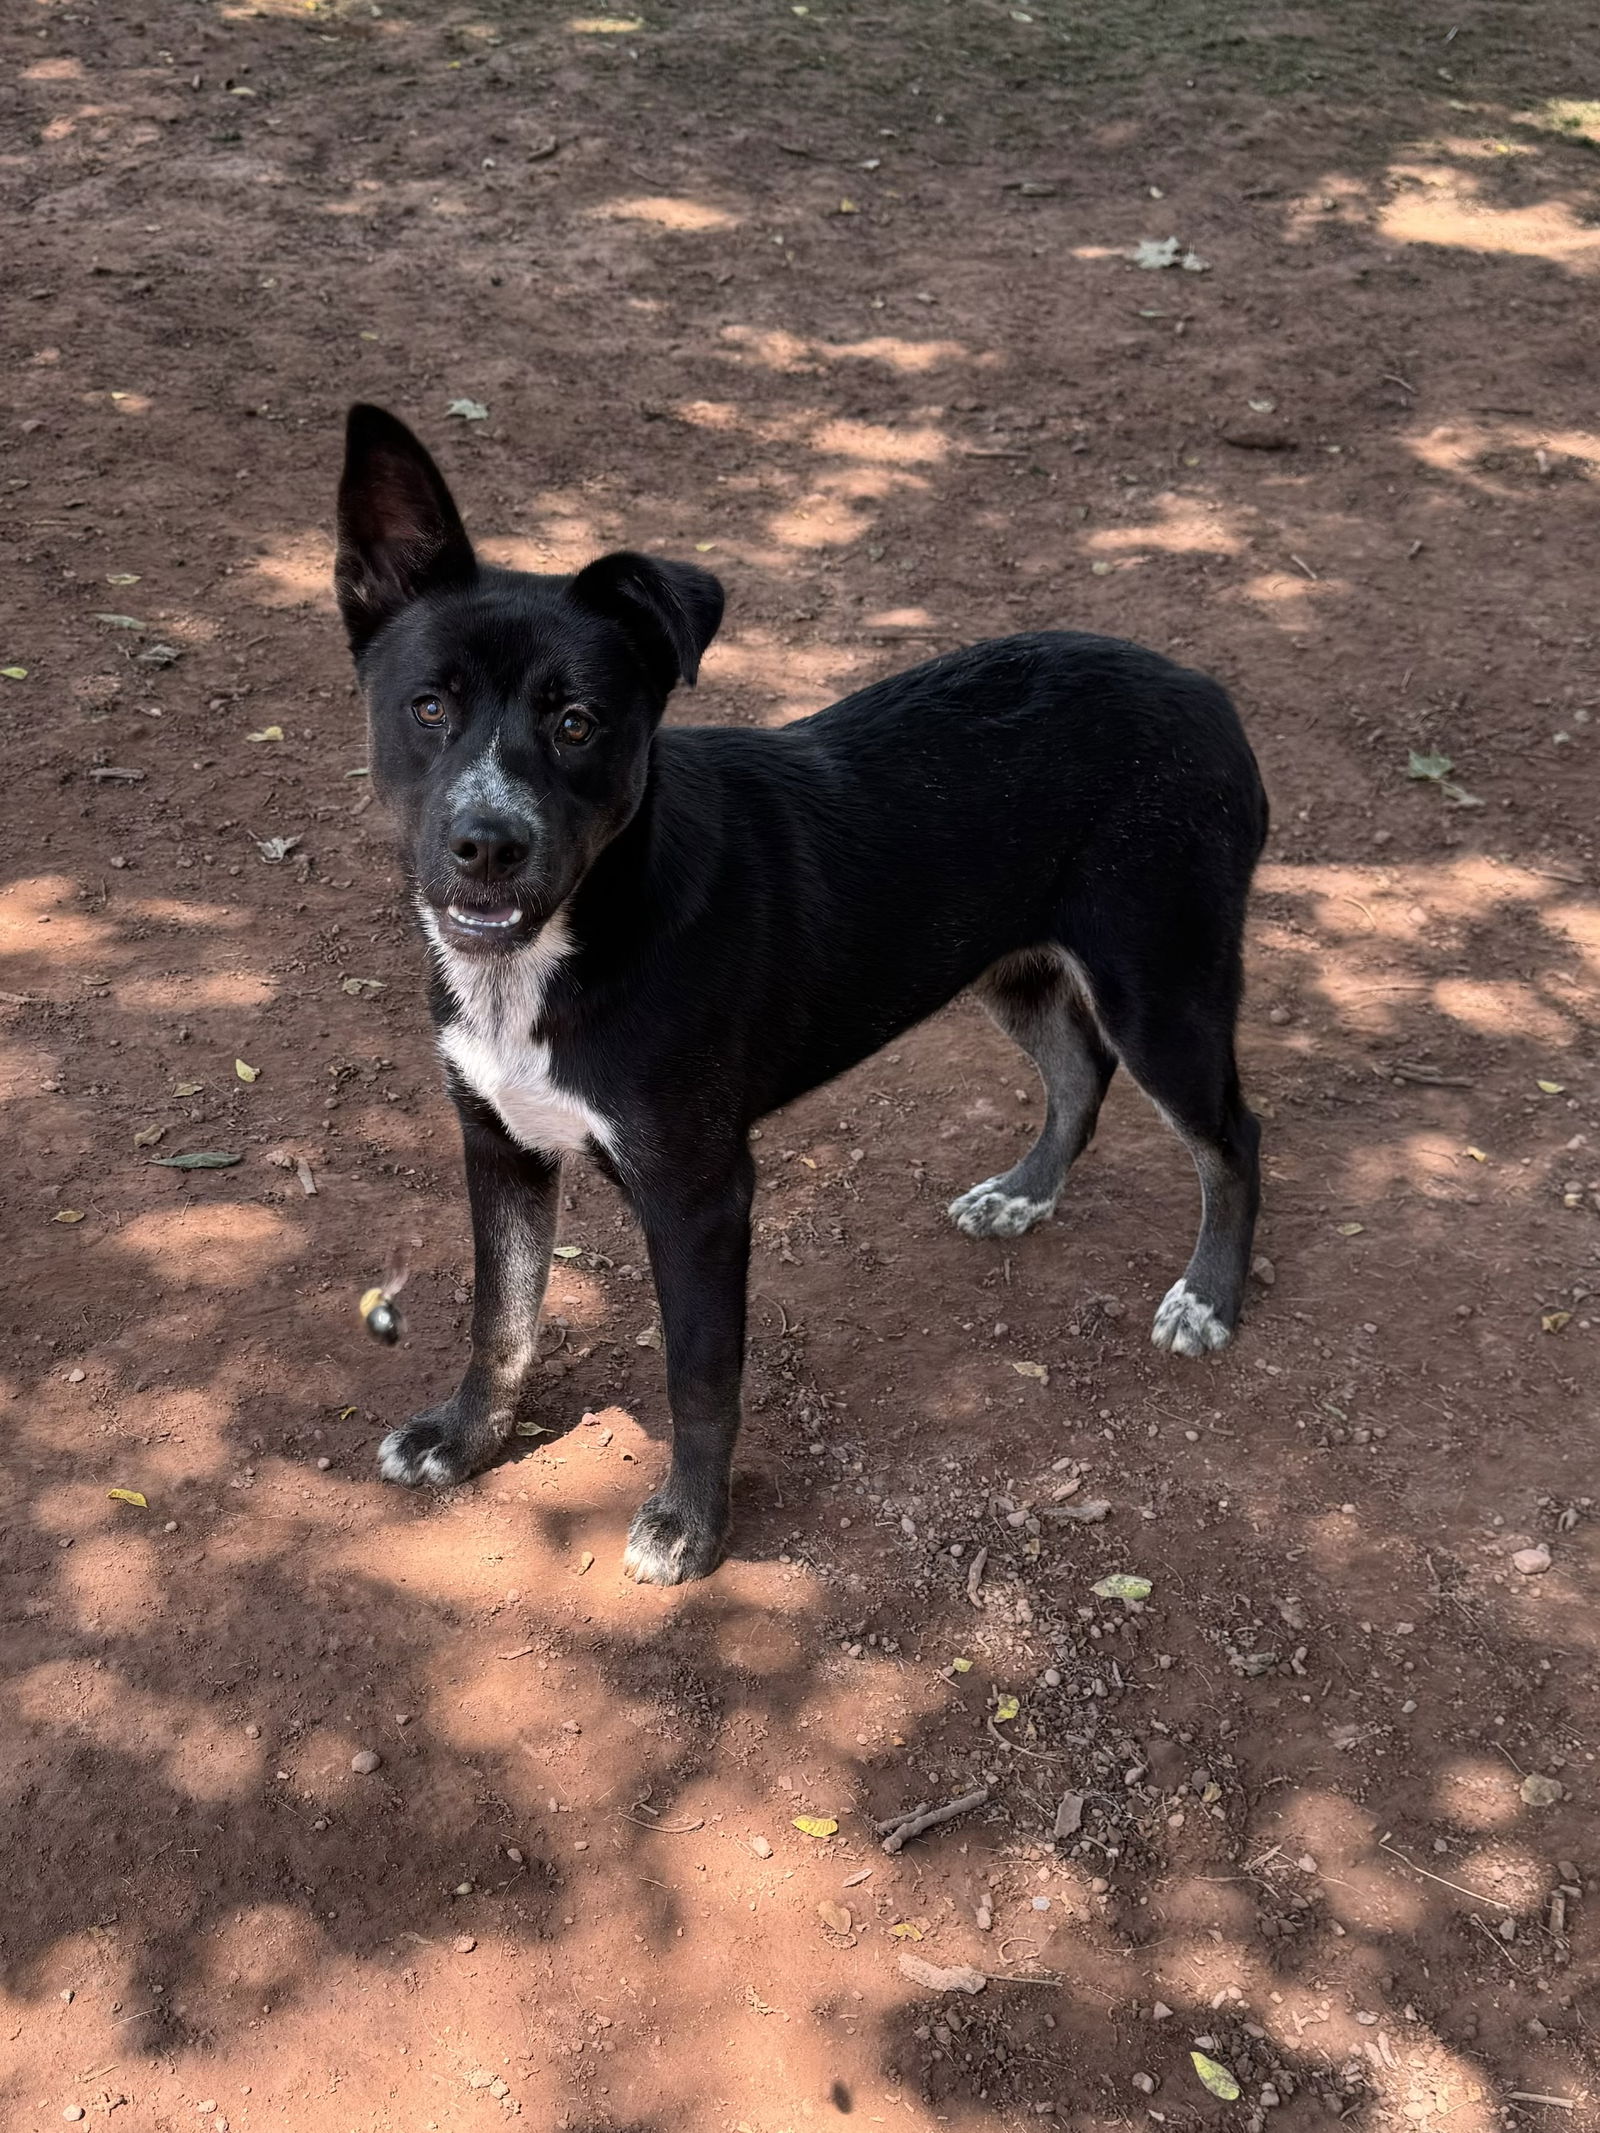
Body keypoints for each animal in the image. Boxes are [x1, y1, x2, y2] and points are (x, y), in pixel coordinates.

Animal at [332, 403, 1271, 1586]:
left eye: (577, 722)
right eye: (427, 707)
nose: (486, 847)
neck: (572, 941)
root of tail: (1203, 689)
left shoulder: (699, 1190)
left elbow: (698, 1375)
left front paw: (691, 1524)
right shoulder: (498, 1142)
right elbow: (501, 1317)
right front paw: (463, 1440)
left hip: (1161, 983)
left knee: (1230, 1135)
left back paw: (1209, 1296)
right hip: (1003, 961)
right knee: (1078, 1068)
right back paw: (1024, 1192)